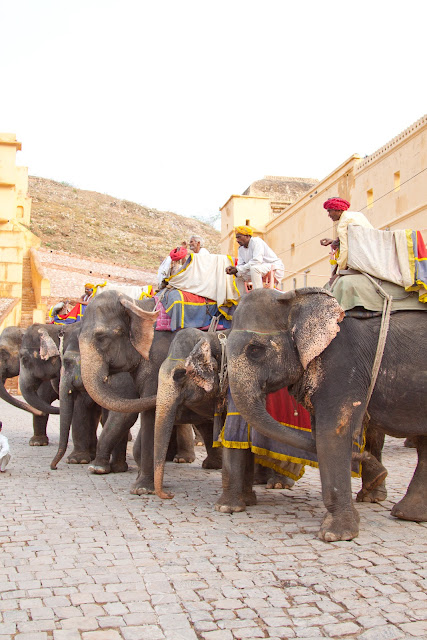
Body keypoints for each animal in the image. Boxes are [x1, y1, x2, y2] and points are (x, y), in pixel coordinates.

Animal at [77, 290, 200, 496]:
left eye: (101, 337)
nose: (186, 373)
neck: (138, 306)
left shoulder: (158, 361)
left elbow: (150, 414)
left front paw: (141, 489)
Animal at [226, 288, 426, 544]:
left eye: (255, 350)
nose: (372, 464)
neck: (294, 299)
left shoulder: (342, 362)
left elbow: (330, 432)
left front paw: (334, 535)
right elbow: (319, 433)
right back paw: (407, 514)